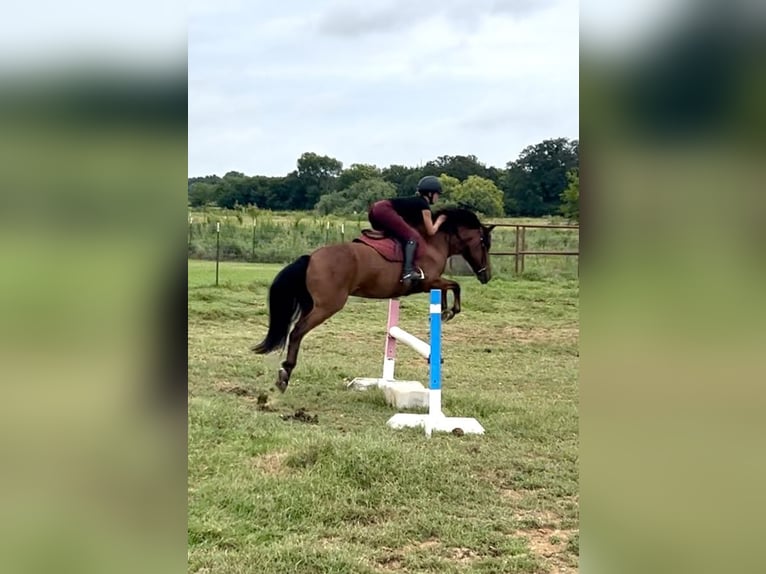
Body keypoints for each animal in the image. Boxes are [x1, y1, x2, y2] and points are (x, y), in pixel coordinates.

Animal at [252, 207, 496, 392]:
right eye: (484, 243)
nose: (487, 276)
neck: (433, 242)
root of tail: (311, 257)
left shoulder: (433, 282)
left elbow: (448, 287)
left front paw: (444, 311)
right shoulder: (427, 281)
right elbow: (455, 285)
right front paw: (452, 310)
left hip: (313, 304)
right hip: (328, 306)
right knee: (297, 332)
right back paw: (284, 374)